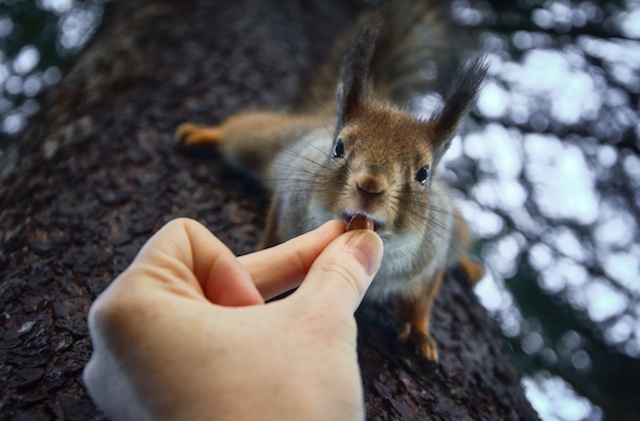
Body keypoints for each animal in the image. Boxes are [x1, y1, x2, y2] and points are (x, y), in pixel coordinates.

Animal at [175, 0, 484, 360]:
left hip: (455, 225)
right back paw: (205, 133)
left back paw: (469, 265)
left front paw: (420, 334)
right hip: (263, 141)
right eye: (338, 148)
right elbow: (274, 241)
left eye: (423, 173)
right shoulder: (290, 199)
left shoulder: (430, 258)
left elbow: (420, 300)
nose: (370, 186)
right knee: (240, 131)